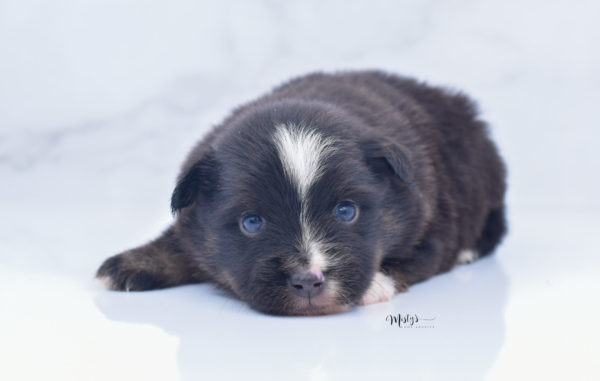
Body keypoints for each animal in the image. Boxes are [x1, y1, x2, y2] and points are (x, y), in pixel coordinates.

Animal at [97, 70, 506, 314]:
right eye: (251, 223)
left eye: (346, 212)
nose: (309, 280)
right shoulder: (191, 217)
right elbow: (178, 241)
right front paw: (131, 264)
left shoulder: (434, 218)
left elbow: (418, 258)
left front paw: (375, 284)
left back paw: (469, 252)